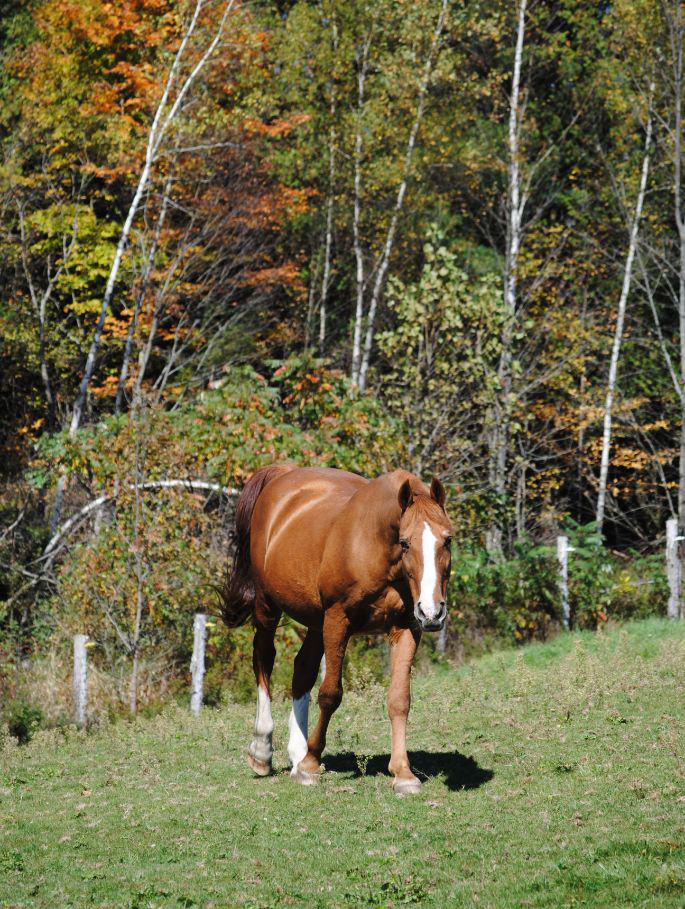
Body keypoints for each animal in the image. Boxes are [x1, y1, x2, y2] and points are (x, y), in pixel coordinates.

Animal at [220, 464, 454, 792]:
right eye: (405, 542)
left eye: (447, 540)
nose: (433, 611)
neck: (376, 548)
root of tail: (285, 473)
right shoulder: (337, 620)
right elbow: (330, 694)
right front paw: (310, 763)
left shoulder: (407, 628)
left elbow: (399, 699)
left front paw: (403, 773)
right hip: (268, 606)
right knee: (263, 658)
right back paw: (263, 751)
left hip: (316, 622)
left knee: (302, 669)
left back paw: (297, 752)